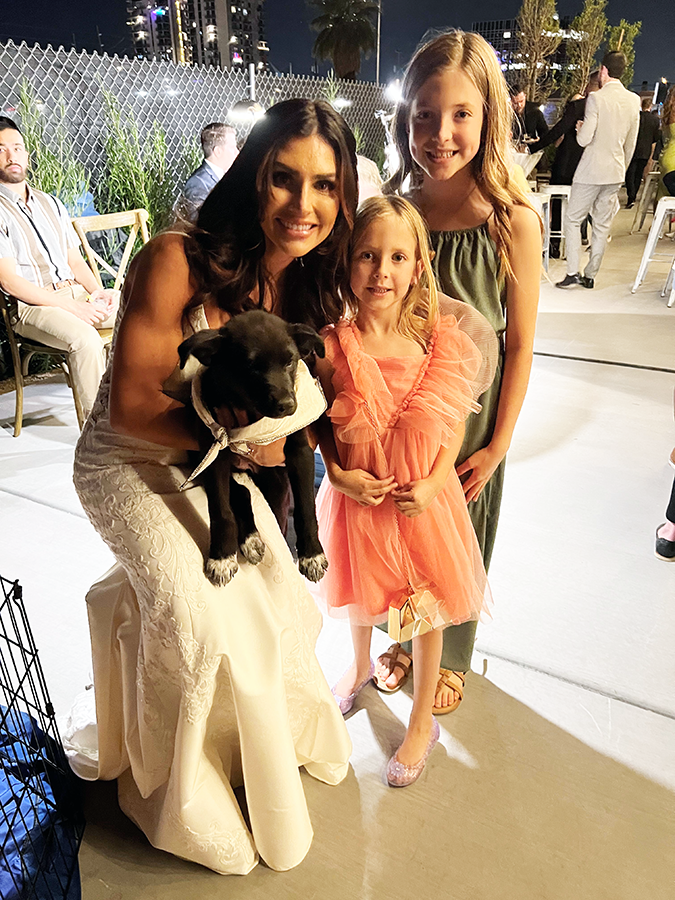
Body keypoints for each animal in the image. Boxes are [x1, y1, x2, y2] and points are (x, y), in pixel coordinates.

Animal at [177, 309, 329, 587]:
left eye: (290, 362)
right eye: (250, 367)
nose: (287, 405)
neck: (251, 417)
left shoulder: (300, 451)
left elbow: (305, 507)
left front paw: (312, 554)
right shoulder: (214, 449)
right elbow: (220, 509)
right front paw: (222, 557)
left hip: (276, 482)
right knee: (241, 493)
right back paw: (250, 539)